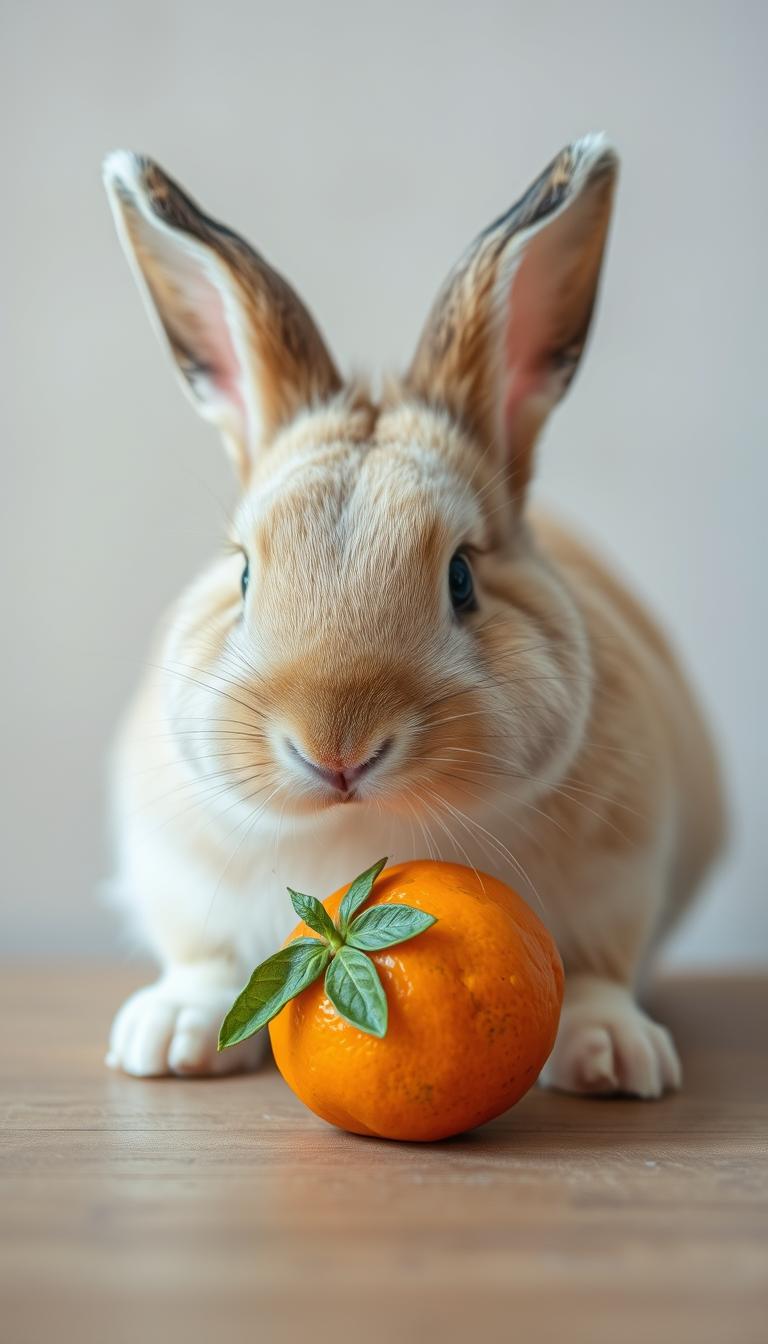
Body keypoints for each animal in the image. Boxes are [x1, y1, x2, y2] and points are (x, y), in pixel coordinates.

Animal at [102, 135, 724, 1096]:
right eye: (242, 575)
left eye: (462, 577)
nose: (337, 749)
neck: (361, 828)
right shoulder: (179, 876)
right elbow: (205, 961)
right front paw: (170, 1040)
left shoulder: (618, 880)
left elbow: (598, 971)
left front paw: (612, 1057)